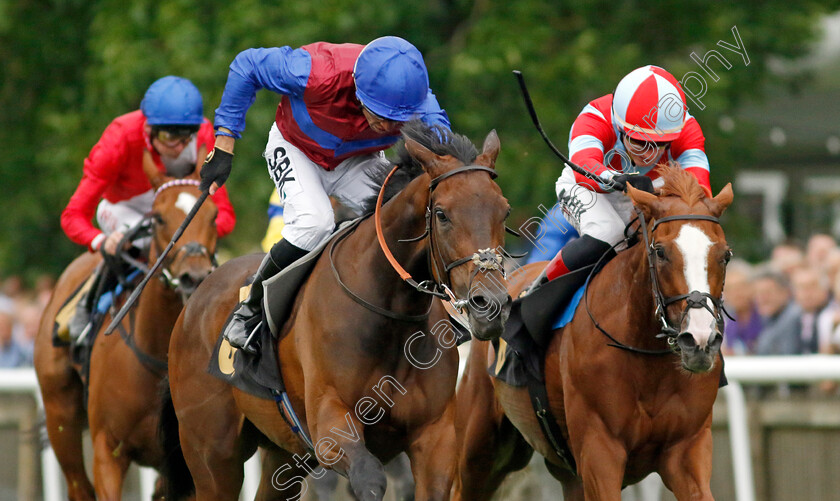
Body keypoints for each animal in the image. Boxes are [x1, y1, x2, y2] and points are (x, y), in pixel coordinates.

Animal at [34, 173, 218, 500]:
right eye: (158, 218)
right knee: (78, 485)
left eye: (215, 216)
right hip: (60, 413)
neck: (156, 350)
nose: (194, 277)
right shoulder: (108, 451)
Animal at [161, 122, 508, 500]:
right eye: (442, 214)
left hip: (284, 453)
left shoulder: (436, 437)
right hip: (212, 453)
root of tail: (195, 299)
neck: (388, 315)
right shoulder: (331, 427)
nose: (490, 304)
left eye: (503, 210)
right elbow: (369, 479)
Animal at [452, 165, 736, 500]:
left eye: (725, 255)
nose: (700, 340)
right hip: (480, 450)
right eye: (661, 252)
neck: (649, 361)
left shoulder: (686, 450)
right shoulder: (599, 450)